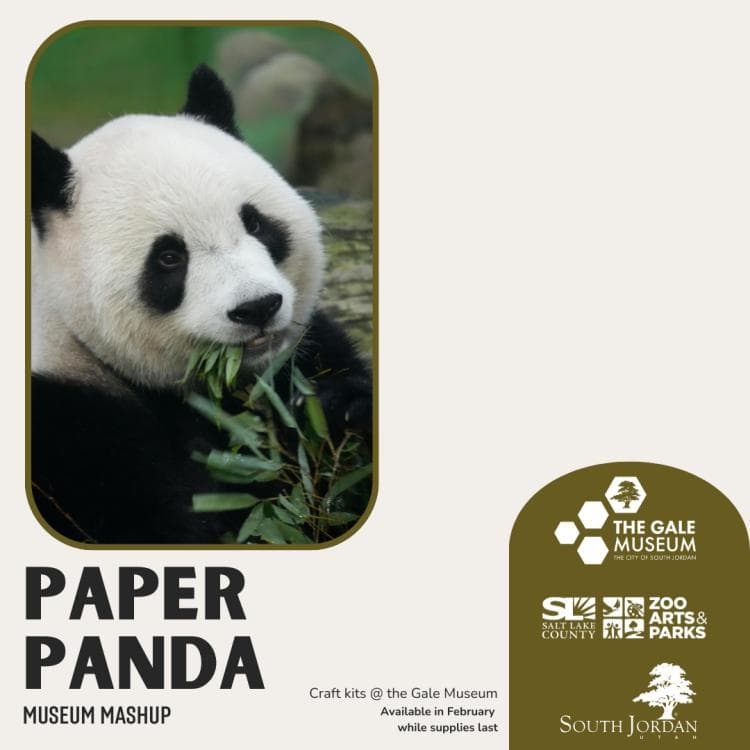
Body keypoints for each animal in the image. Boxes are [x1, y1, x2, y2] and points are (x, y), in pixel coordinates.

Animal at [30, 65, 372, 544]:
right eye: (169, 257)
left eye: (255, 223)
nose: (257, 307)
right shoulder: (72, 430)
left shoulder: (305, 352)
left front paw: (339, 412)